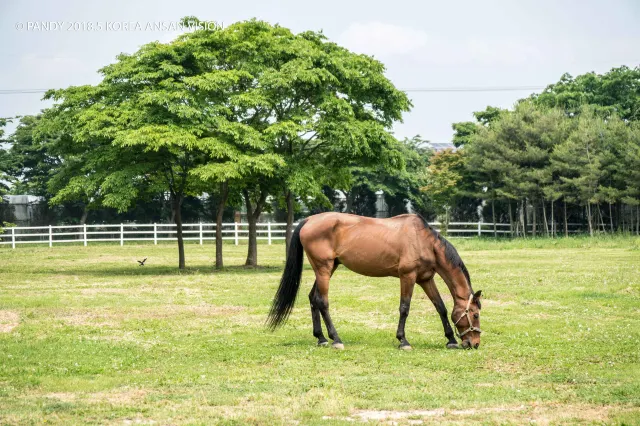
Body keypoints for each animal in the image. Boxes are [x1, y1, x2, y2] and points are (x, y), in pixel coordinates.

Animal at [264, 212, 480, 350]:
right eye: (476, 315)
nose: (474, 343)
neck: (423, 241)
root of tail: (309, 220)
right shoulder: (407, 277)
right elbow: (405, 308)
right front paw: (403, 341)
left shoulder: (425, 279)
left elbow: (440, 307)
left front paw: (451, 340)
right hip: (323, 269)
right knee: (322, 301)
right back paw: (336, 339)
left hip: (328, 268)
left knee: (312, 298)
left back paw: (321, 338)